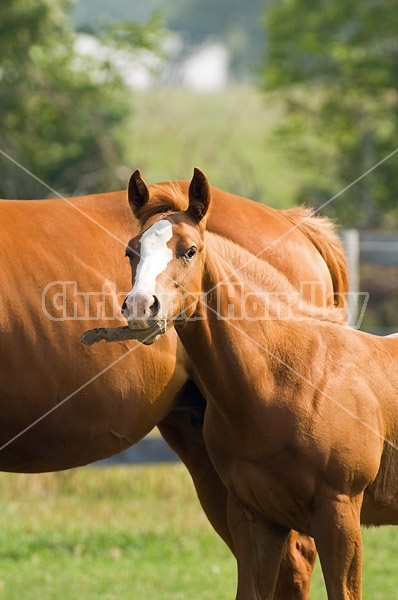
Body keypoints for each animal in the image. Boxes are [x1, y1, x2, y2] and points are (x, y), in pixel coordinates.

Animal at [122, 169, 398, 600]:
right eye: (131, 252)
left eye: (190, 250)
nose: (139, 308)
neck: (286, 378)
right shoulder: (254, 518)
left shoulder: (340, 514)